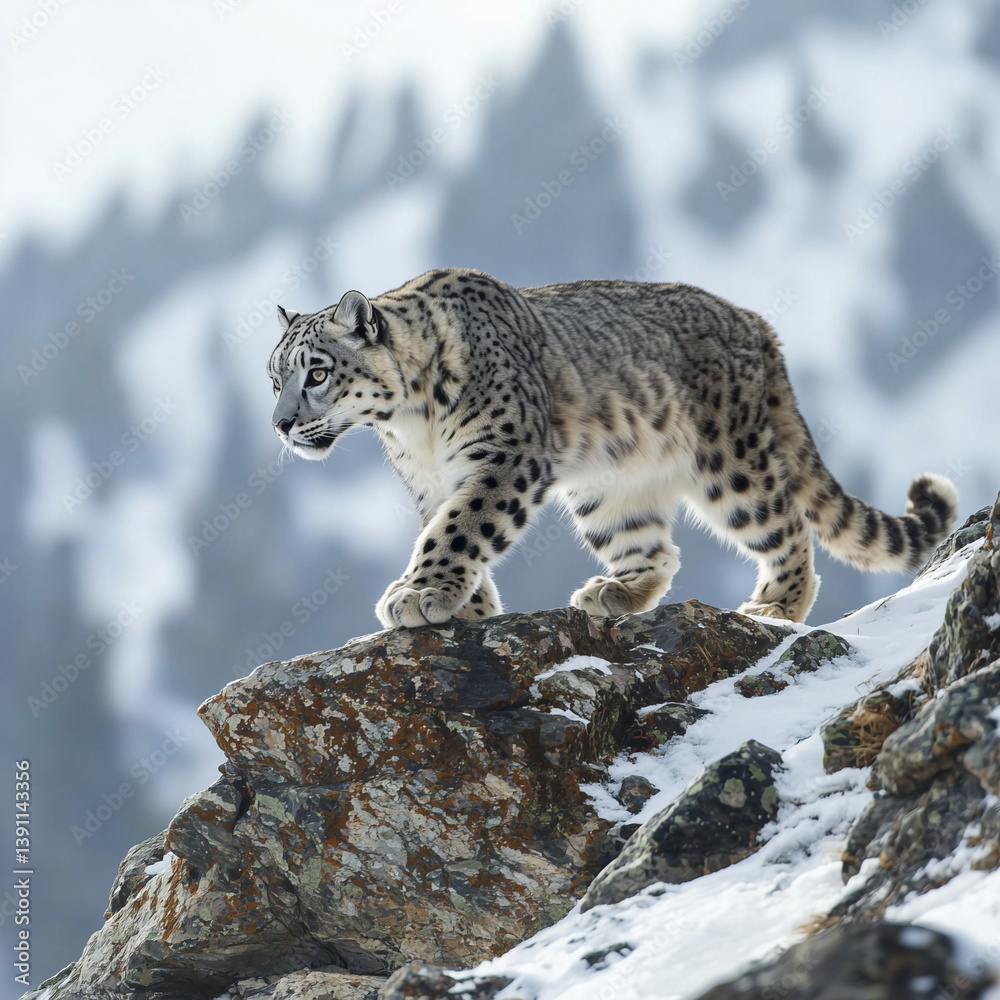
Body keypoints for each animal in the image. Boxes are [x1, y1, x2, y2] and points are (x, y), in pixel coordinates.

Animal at [267, 268, 959, 629]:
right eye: (274, 378)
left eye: (317, 373)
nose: (280, 424)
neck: (411, 425)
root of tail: (756, 323)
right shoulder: (431, 484)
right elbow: (445, 526)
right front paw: (470, 606)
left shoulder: (505, 457)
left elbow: (462, 526)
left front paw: (417, 595)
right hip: (609, 491)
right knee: (654, 548)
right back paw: (614, 593)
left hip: (731, 464)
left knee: (785, 521)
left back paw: (776, 605)